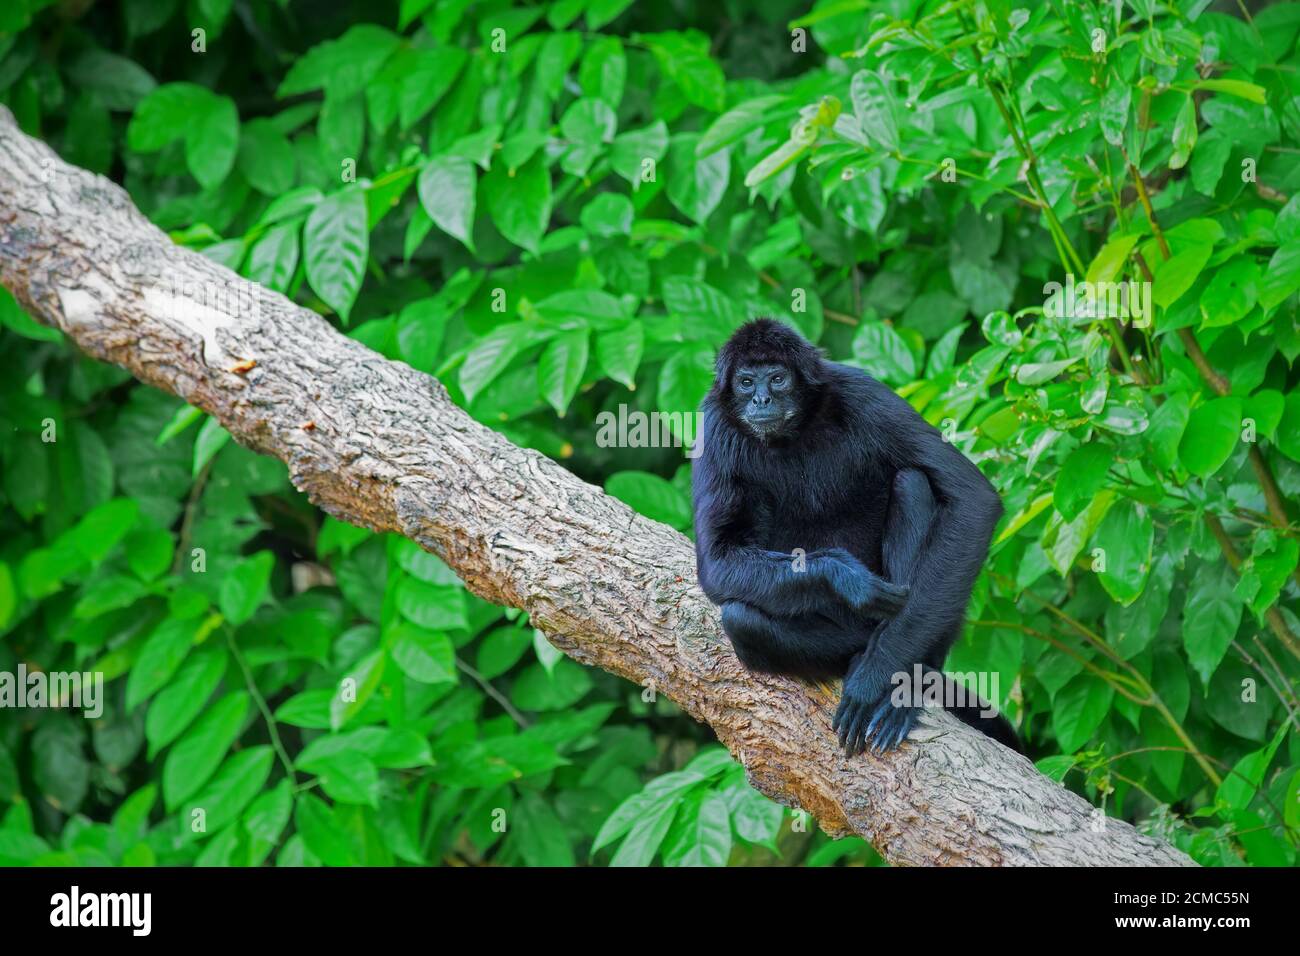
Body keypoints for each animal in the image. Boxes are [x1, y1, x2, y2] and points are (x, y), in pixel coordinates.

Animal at [696, 319, 1019, 754]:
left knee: (912, 481)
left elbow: (974, 499)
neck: (792, 434)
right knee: (741, 619)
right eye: (746, 382)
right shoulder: (714, 423)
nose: (761, 399)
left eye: (778, 379)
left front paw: (879, 681)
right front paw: (846, 578)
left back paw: (908, 680)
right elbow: (717, 563)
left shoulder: (862, 392)